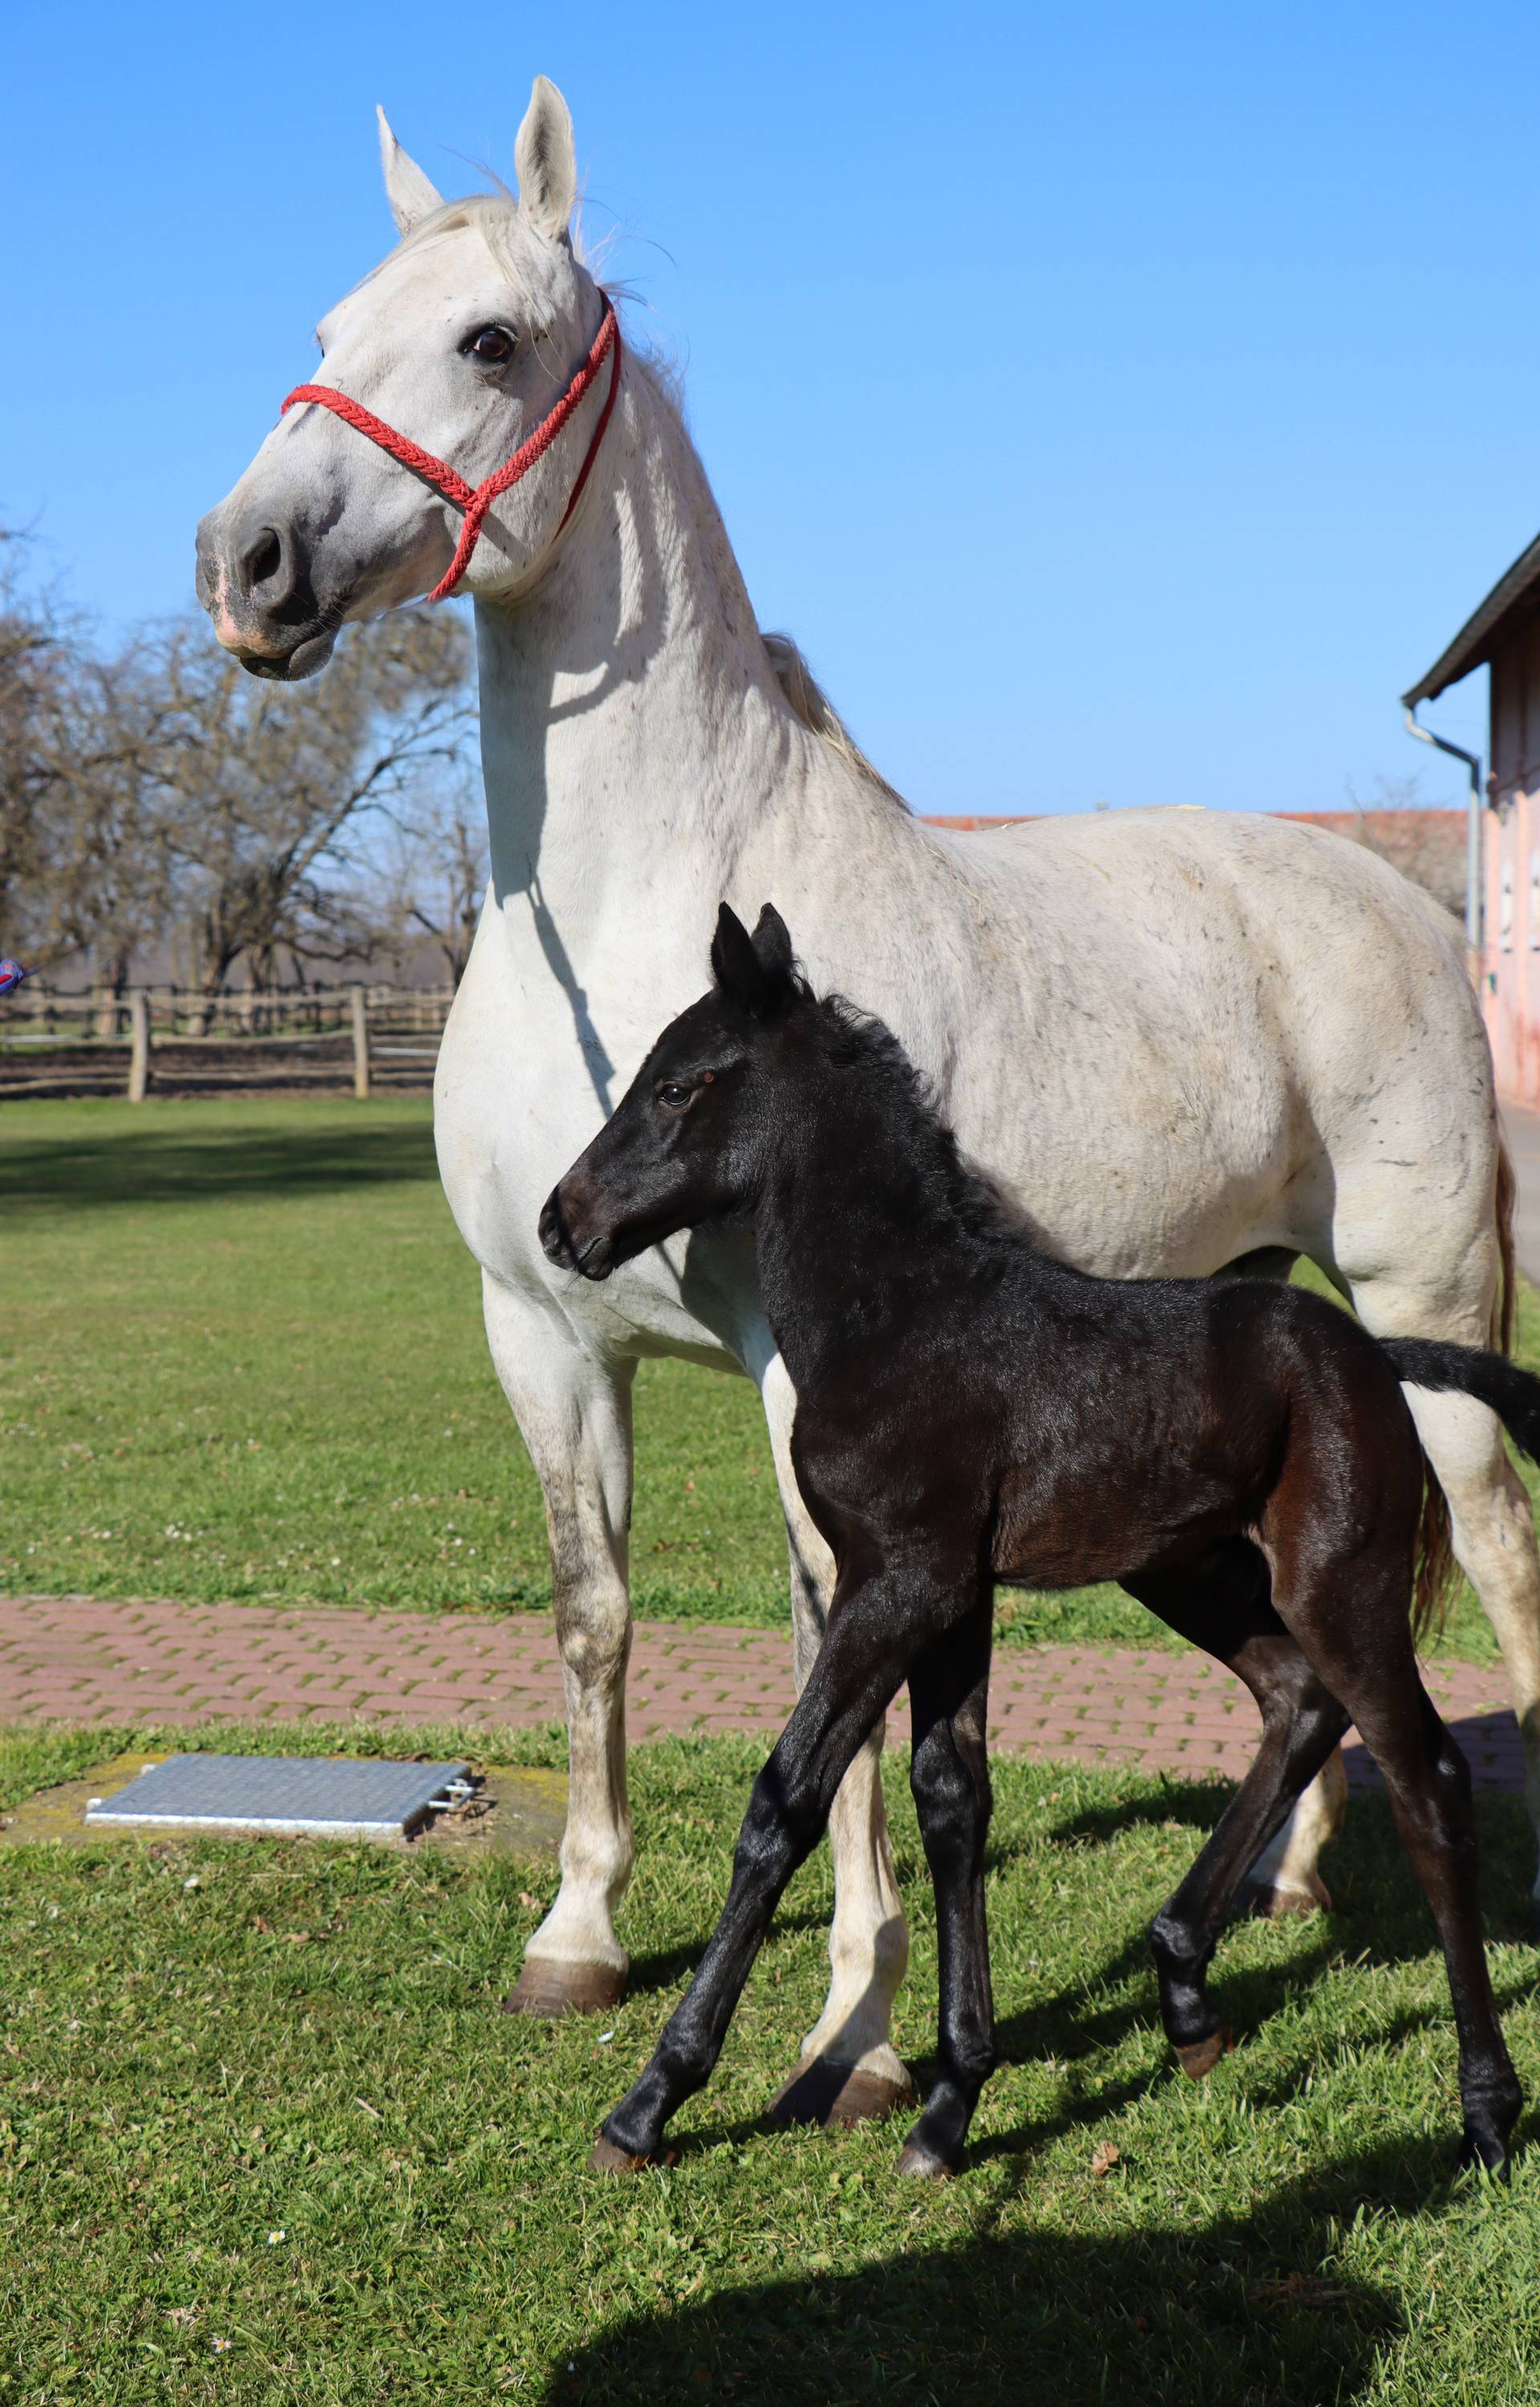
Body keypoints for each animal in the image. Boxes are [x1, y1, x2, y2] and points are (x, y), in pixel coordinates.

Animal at [541, 905, 1540, 2186]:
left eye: (677, 1084)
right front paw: (951, 2100)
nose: (560, 1222)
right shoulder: (953, 1592)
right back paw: (1185, 1994)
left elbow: (786, 1802)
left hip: (1337, 1580)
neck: (904, 1319)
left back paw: (1486, 2110)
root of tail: (1376, 1355)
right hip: (1191, 1570)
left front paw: (652, 2100)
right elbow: (950, 1797)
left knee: (1426, 1778)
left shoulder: (896, 1582)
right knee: (1298, 1698)